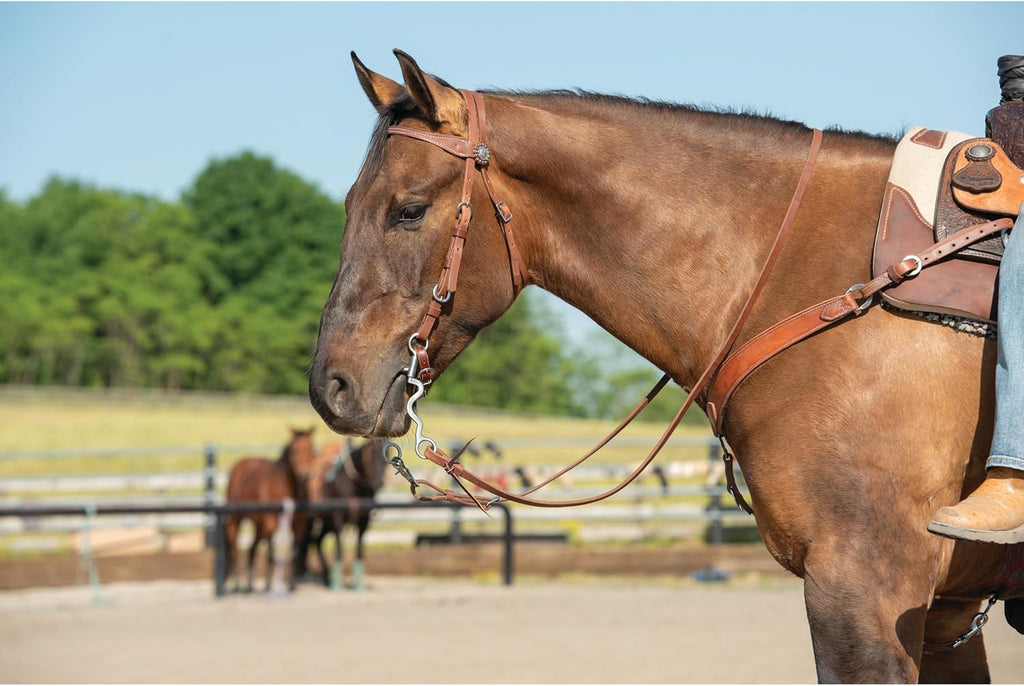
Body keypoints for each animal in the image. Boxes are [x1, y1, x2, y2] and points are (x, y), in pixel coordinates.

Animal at [223, 427, 317, 593]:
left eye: (312, 448)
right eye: (294, 449)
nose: (304, 475)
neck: (287, 487)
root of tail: (239, 465)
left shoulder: (298, 525)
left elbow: (293, 552)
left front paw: (291, 585)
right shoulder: (271, 523)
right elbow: (271, 555)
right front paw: (268, 586)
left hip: (258, 523)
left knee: (252, 548)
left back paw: (250, 585)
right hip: (236, 519)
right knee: (235, 547)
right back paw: (236, 584)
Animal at [303, 437, 387, 589]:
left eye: (388, 454)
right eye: (371, 454)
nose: (378, 482)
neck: (353, 483)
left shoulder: (364, 521)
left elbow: (359, 550)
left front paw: (358, 585)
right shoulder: (338, 519)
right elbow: (339, 548)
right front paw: (337, 584)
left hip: (326, 524)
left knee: (316, 541)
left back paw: (326, 576)